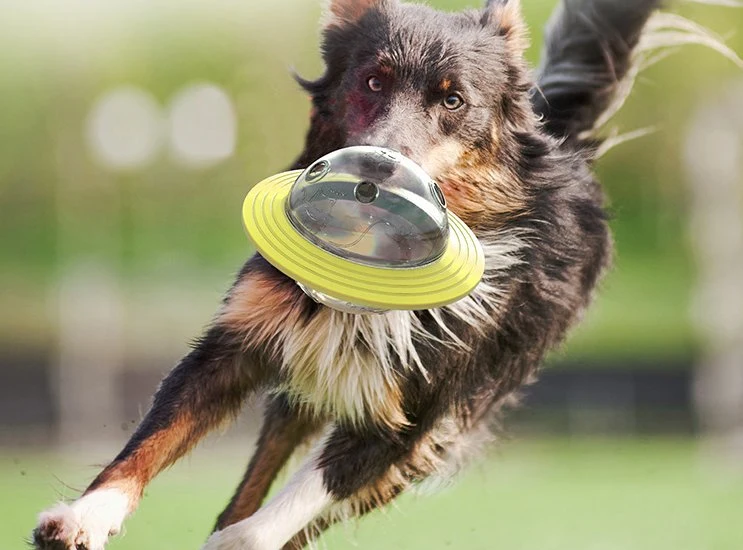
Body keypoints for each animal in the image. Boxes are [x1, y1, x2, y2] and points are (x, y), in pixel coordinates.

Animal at [30, 1, 732, 550]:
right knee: (263, 463)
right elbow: (153, 438)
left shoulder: (417, 414)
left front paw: (240, 539)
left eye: (453, 99)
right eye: (372, 81)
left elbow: (307, 494)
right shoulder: (238, 341)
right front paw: (84, 516)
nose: (379, 168)